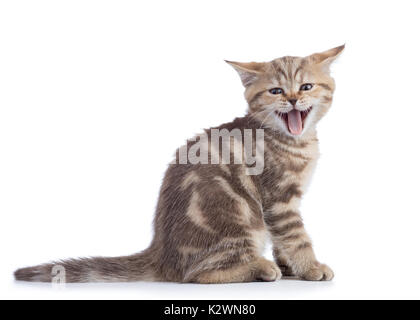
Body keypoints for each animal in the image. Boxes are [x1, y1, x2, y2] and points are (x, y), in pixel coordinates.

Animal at [15, 45, 344, 282]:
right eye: (276, 91)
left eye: (306, 86)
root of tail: (160, 254)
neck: (294, 141)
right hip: (239, 223)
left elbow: (283, 239)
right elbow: (296, 237)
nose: (292, 99)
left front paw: (291, 266)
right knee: (196, 274)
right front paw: (311, 267)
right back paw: (258, 267)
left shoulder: (284, 203)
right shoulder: (278, 199)